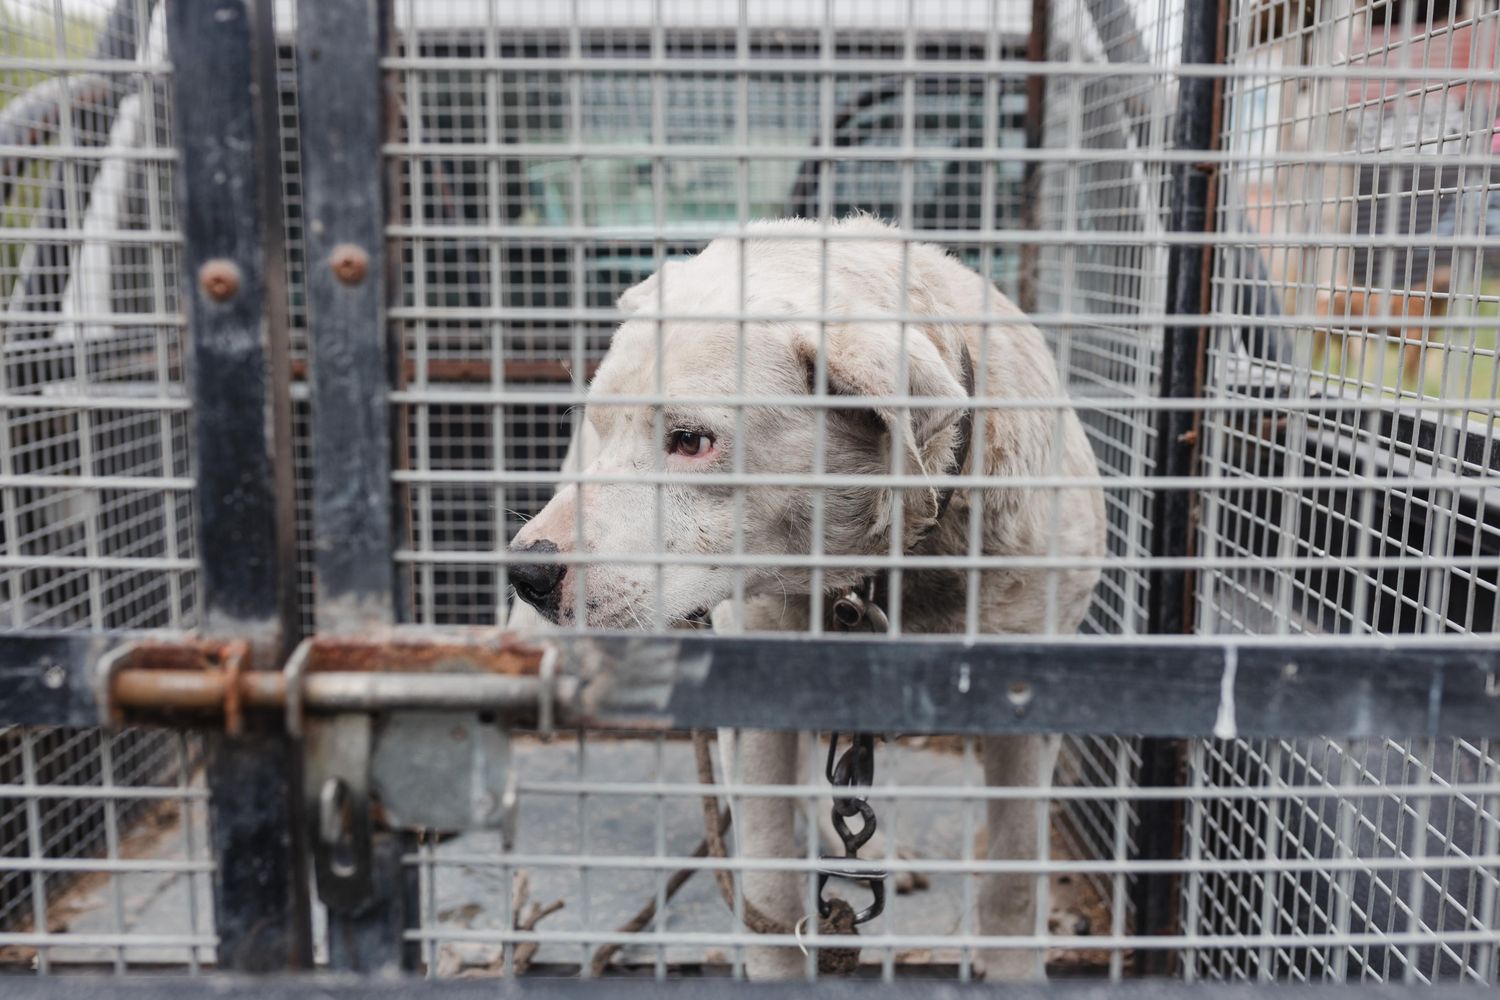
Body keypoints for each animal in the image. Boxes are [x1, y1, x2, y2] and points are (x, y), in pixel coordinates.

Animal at [510, 217, 1110, 977]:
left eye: (691, 440)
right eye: (601, 423)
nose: (527, 572)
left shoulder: (1031, 717)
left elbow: (1014, 885)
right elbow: (769, 890)